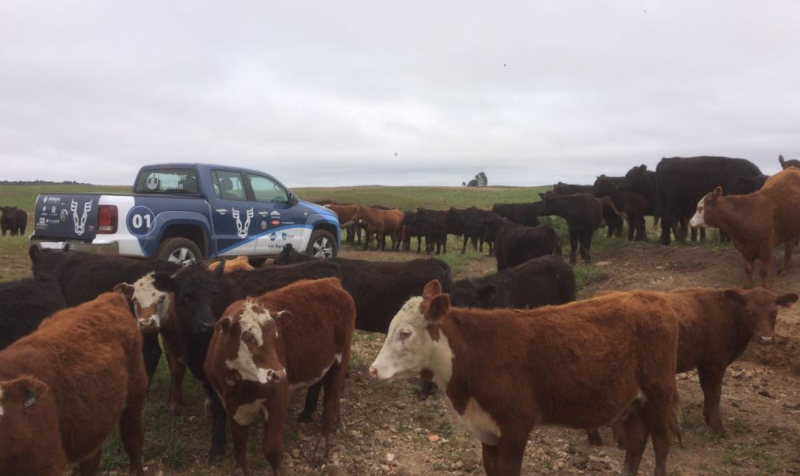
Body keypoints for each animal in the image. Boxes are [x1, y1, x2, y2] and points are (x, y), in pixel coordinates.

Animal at [205, 278, 354, 476]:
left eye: (276, 337)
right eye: (248, 337)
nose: (279, 373)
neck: (239, 386)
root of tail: (331, 281)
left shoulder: (278, 395)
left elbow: (273, 450)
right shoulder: (231, 404)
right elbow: (239, 442)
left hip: (340, 360)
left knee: (329, 405)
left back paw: (321, 449)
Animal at [372, 278, 680, 476]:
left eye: (406, 333)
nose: (374, 370)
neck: (478, 353)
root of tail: (654, 300)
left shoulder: (515, 428)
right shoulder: (487, 432)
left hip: (658, 393)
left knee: (661, 442)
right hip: (634, 402)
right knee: (636, 445)